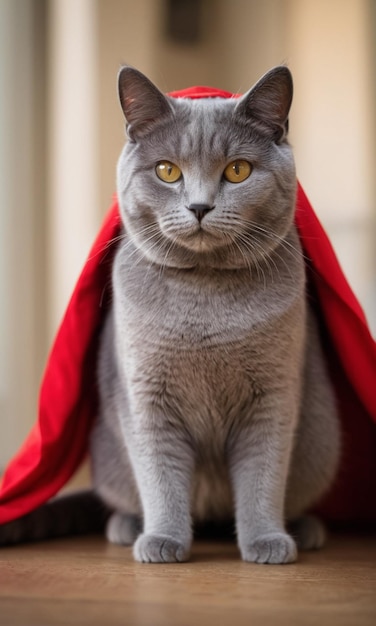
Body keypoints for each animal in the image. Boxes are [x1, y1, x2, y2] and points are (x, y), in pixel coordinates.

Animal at [0, 67, 340, 560]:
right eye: (167, 170)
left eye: (238, 170)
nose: (199, 206)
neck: (203, 297)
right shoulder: (146, 397)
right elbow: (159, 474)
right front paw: (162, 541)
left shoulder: (273, 397)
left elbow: (263, 475)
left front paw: (266, 542)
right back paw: (127, 527)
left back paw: (306, 529)